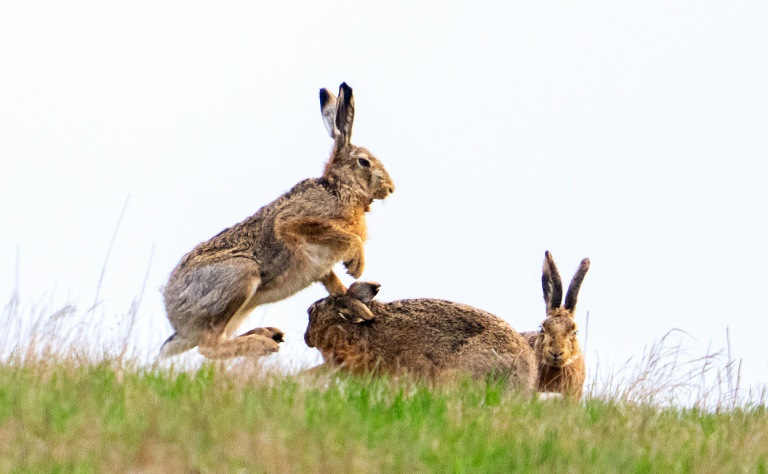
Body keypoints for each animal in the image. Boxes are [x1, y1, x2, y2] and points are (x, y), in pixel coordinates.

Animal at [159, 83, 395, 359]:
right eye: (363, 162)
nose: (391, 189)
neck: (341, 187)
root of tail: (175, 318)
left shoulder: (321, 267)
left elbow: (334, 285)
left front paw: (357, 306)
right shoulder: (294, 223)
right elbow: (346, 237)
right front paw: (356, 265)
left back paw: (267, 334)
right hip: (241, 275)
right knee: (209, 346)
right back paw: (263, 343)